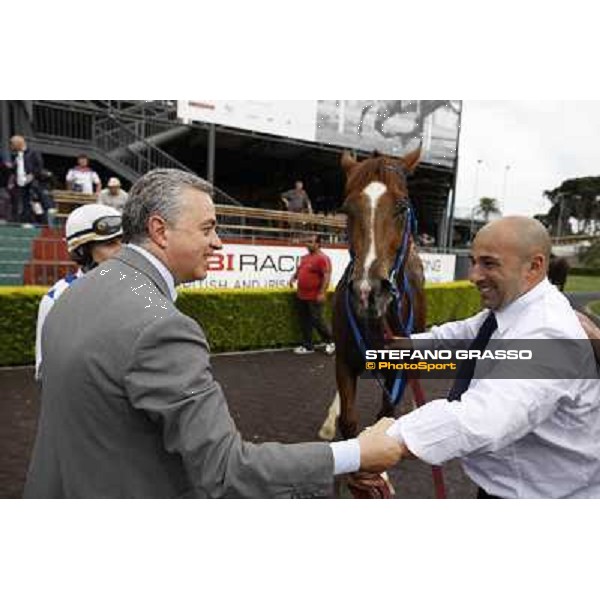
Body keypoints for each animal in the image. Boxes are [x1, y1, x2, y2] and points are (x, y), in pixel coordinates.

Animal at [332, 148, 426, 438]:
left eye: (402, 207)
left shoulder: (398, 367)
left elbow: (386, 415)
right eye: (346, 209)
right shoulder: (345, 361)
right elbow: (348, 420)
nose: (368, 290)